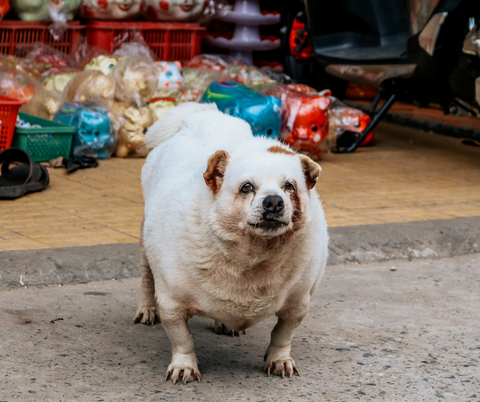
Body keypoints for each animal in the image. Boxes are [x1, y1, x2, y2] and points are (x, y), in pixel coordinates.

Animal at [135, 103, 330, 384]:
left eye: (290, 186)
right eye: (246, 187)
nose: (274, 202)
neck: (253, 257)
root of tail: (196, 114)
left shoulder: (298, 303)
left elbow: (282, 335)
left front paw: (279, 360)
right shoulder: (172, 304)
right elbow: (183, 339)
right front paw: (184, 366)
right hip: (144, 243)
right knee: (146, 276)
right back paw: (146, 309)